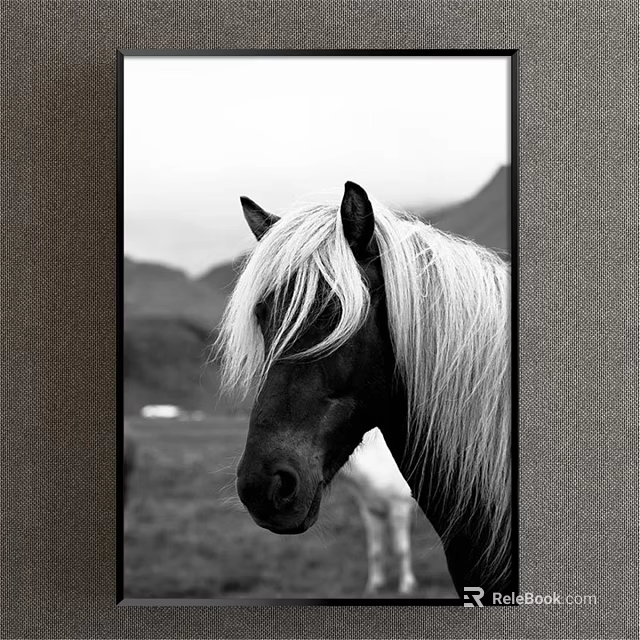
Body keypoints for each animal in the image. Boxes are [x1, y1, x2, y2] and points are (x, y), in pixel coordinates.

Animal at [338, 427, 417, 594]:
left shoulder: (400, 509)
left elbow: (402, 549)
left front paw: (406, 586)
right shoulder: (371, 511)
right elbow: (376, 550)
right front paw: (375, 585)